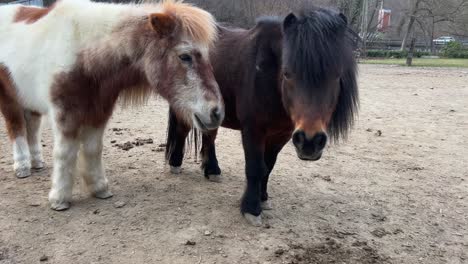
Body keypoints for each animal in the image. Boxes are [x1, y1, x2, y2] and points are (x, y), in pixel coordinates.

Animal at [0, 0, 224, 210]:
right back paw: (22, 167)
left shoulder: (99, 112)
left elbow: (93, 149)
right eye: (185, 56)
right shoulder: (65, 114)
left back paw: (37, 163)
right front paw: (60, 198)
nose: (217, 112)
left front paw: (99, 188)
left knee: (32, 128)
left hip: (29, 102)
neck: (83, 55)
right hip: (10, 99)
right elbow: (65, 153)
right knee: (16, 128)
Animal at [165, 8, 358, 227]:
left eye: (337, 75)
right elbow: (255, 167)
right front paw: (251, 208)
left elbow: (268, 166)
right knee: (182, 131)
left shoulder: (281, 134)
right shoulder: (253, 130)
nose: (310, 142)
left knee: (209, 136)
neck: (267, 76)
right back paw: (175, 164)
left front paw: (263, 198)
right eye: (287, 73)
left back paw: (212, 170)